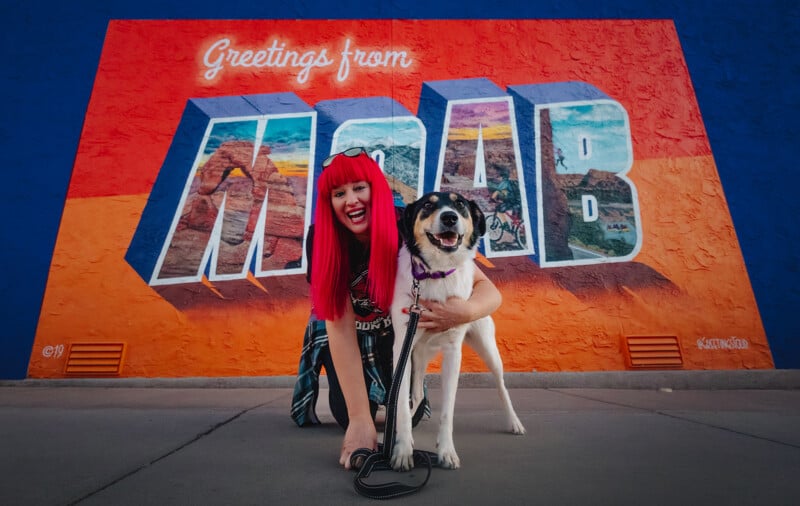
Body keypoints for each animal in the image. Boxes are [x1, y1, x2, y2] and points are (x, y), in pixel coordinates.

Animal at [390, 191, 524, 470]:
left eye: (460, 204)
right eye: (427, 205)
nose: (449, 217)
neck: (436, 274)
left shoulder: (453, 351)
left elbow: (447, 411)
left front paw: (446, 451)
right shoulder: (401, 347)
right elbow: (401, 404)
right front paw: (403, 450)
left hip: (488, 348)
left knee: (501, 386)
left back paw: (514, 422)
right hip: (418, 355)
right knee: (415, 394)